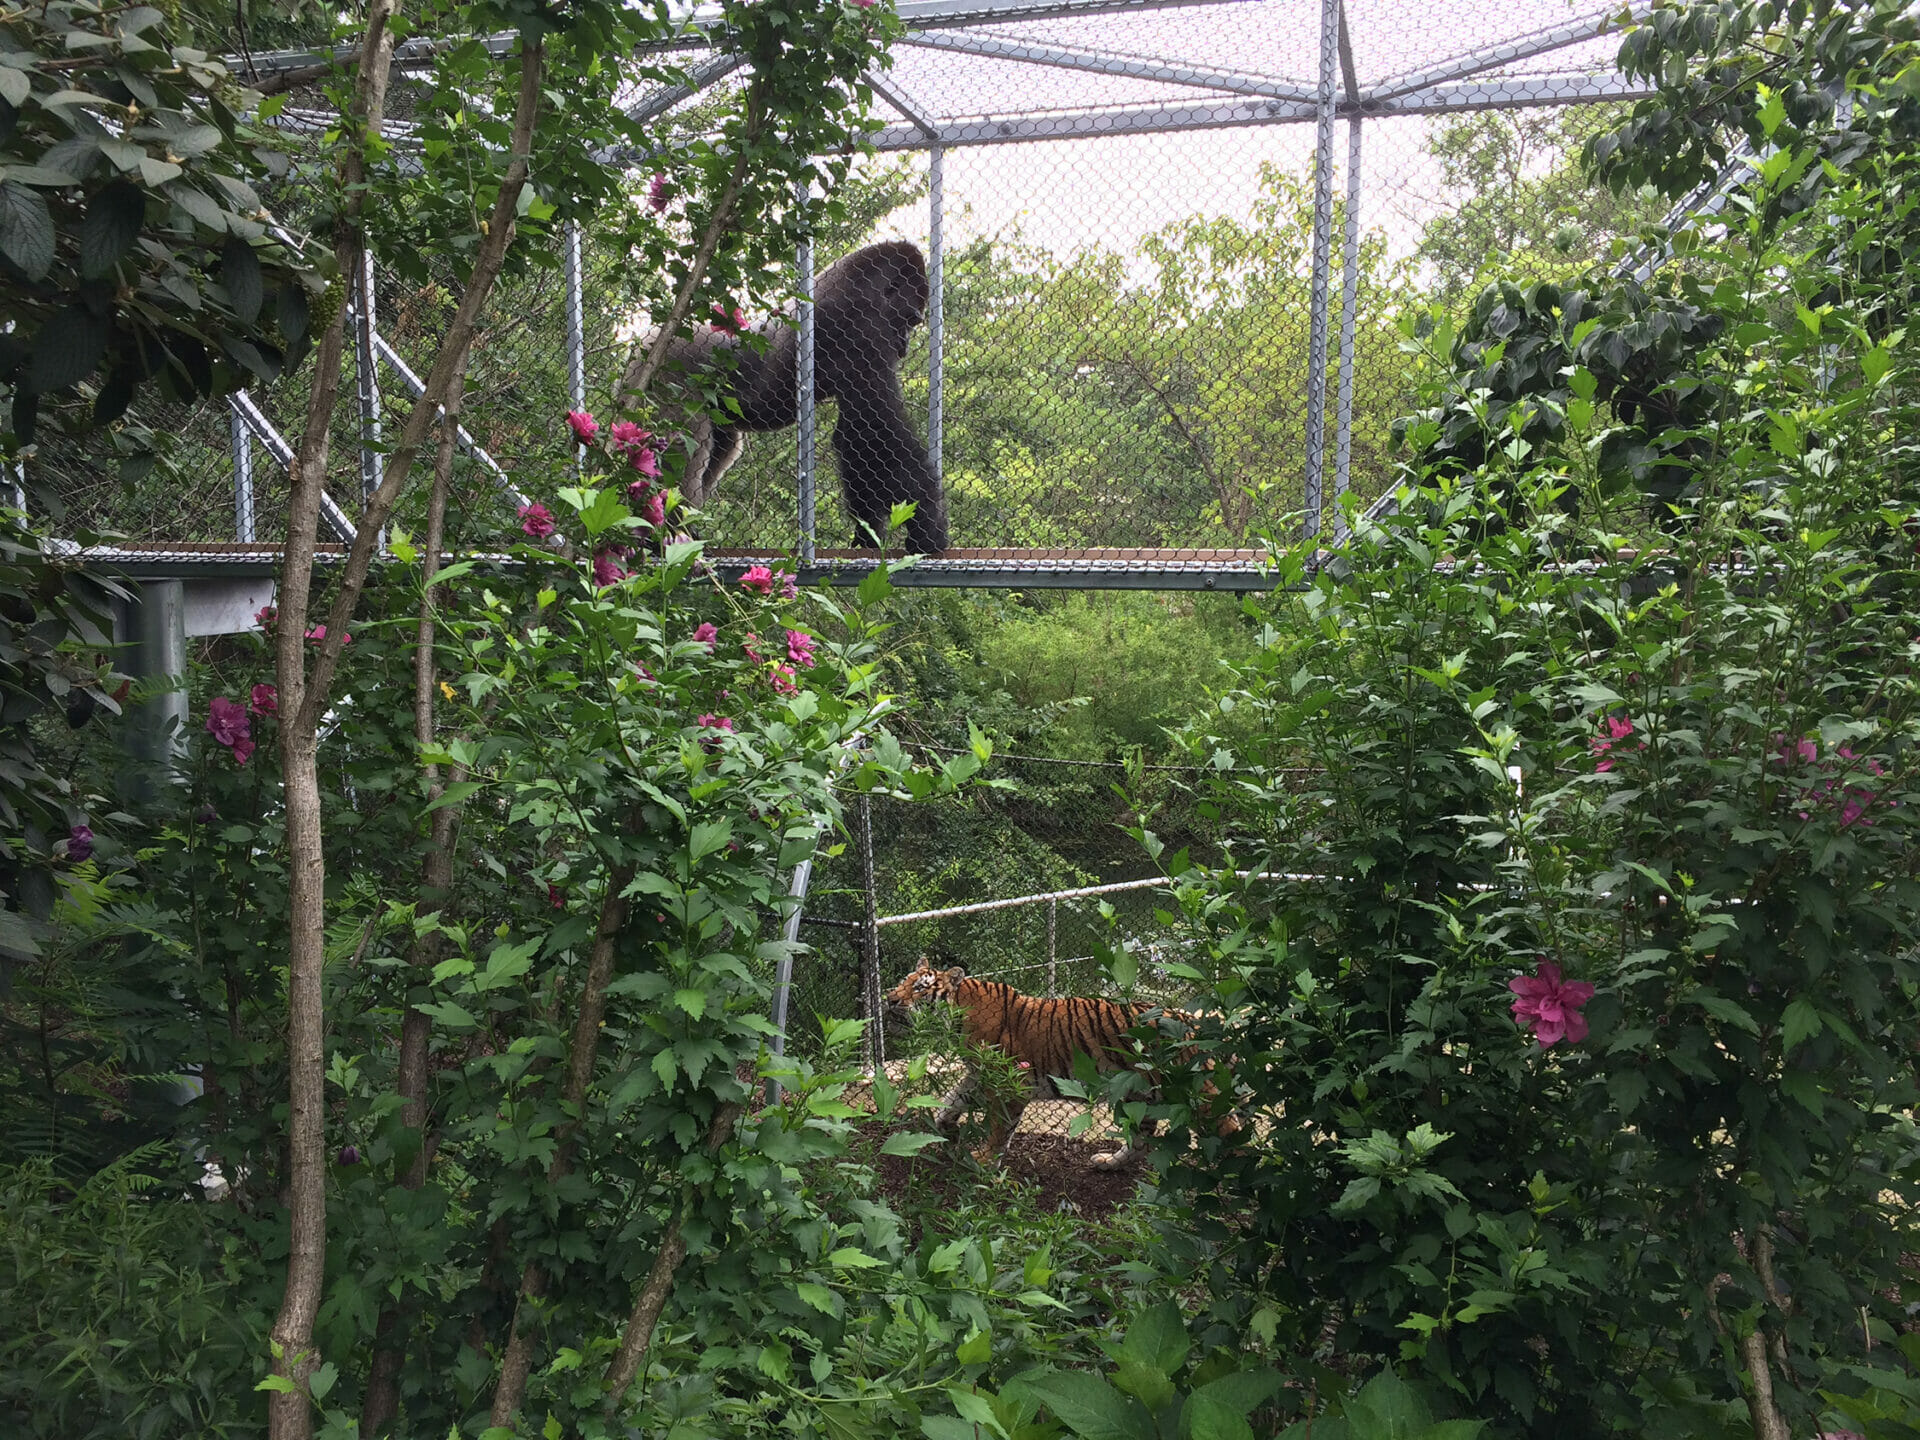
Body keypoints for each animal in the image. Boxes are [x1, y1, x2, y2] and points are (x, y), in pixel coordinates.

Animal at [629, 240, 952, 556]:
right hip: (666, 372)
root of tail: (645, 343)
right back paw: (663, 530)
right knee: (681, 444)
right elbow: (876, 428)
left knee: (720, 448)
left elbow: (856, 437)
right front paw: (928, 522)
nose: (904, 346)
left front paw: (870, 532)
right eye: (910, 319)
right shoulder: (860, 326)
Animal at [879, 960, 1228, 1175]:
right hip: (1140, 1097)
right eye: (901, 982)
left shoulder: (1009, 1083)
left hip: (1200, 1097)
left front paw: (984, 1161)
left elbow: (999, 1128)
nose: (889, 998)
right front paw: (940, 1127)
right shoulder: (980, 1074)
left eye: (920, 988)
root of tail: (1193, 1022)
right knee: (1141, 1142)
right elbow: (953, 1098)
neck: (957, 1018)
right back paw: (1107, 1162)